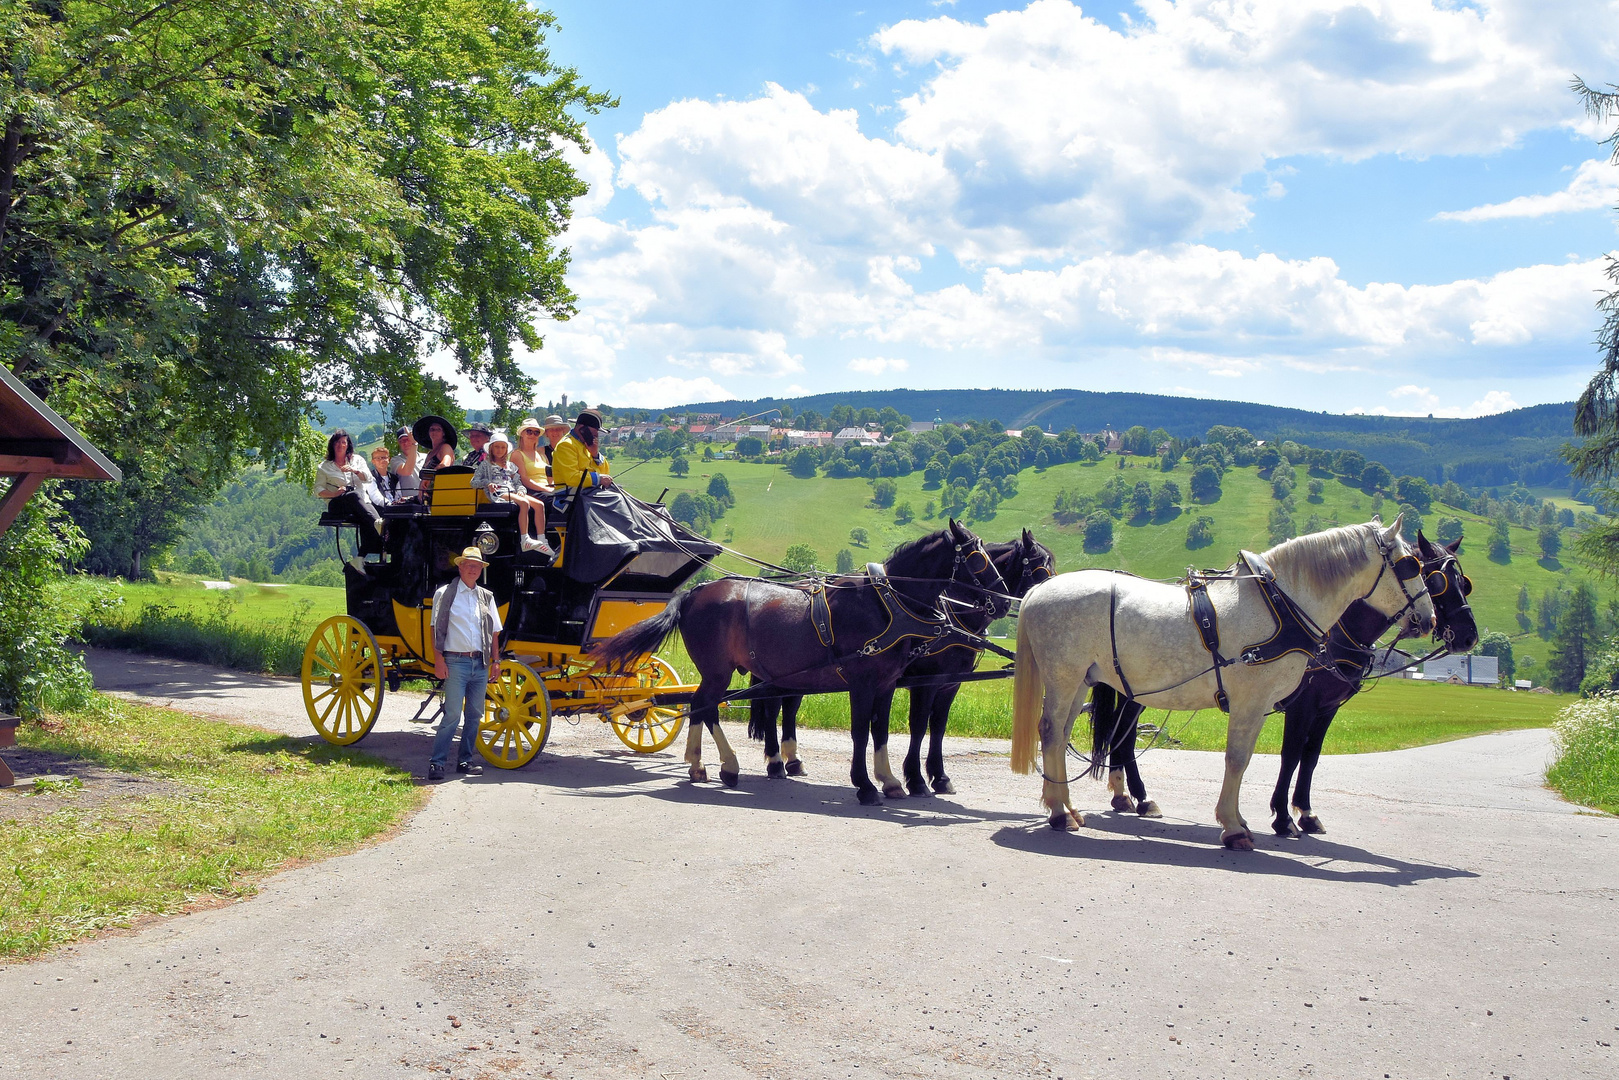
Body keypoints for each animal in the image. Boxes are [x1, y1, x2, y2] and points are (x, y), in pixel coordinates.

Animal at [589, 518, 1003, 806]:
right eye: (978, 558)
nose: (1000, 602)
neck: (884, 605)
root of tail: (694, 592)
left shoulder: (886, 684)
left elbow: (882, 732)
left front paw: (890, 781)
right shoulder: (863, 683)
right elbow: (861, 732)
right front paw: (866, 785)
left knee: (699, 705)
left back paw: (699, 765)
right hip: (718, 671)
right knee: (706, 707)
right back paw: (727, 765)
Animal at [747, 527, 1055, 799]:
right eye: (1040, 568)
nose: (1003, 604)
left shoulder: (950, 685)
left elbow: (938, 727)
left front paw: (939, 777)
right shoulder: (926, 683)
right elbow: (918, 726)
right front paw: (916, 780)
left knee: (789, 707)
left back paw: (792, 760)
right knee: (774, 709)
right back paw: (776, 761)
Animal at [1003, 518, 1437, 848]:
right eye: (1410, 565)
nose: (1429, 620)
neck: (1279, 606)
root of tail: (1040, 589)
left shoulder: (1278, 707)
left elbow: (1280, 759)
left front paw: (1252, 821)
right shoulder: (1254, 701)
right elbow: (1241, 759)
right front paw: (1235, 826)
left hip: (1082, 680)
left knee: (1062, 734)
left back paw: (1068, 808)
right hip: (1064, 677)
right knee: (1052, 732)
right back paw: (1060, 812)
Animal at [1087, 537, 1483, 835]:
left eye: (1464, 583)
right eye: (1436, 580)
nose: (1468, 637)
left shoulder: (1326, 709)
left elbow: (1310, 757)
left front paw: (1304, 813)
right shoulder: (1301, 705)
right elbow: (1291, 755)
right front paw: (1283, 817)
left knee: (1122, 735)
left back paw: (1126, 796)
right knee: (1124, 735)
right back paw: (1138, 797)